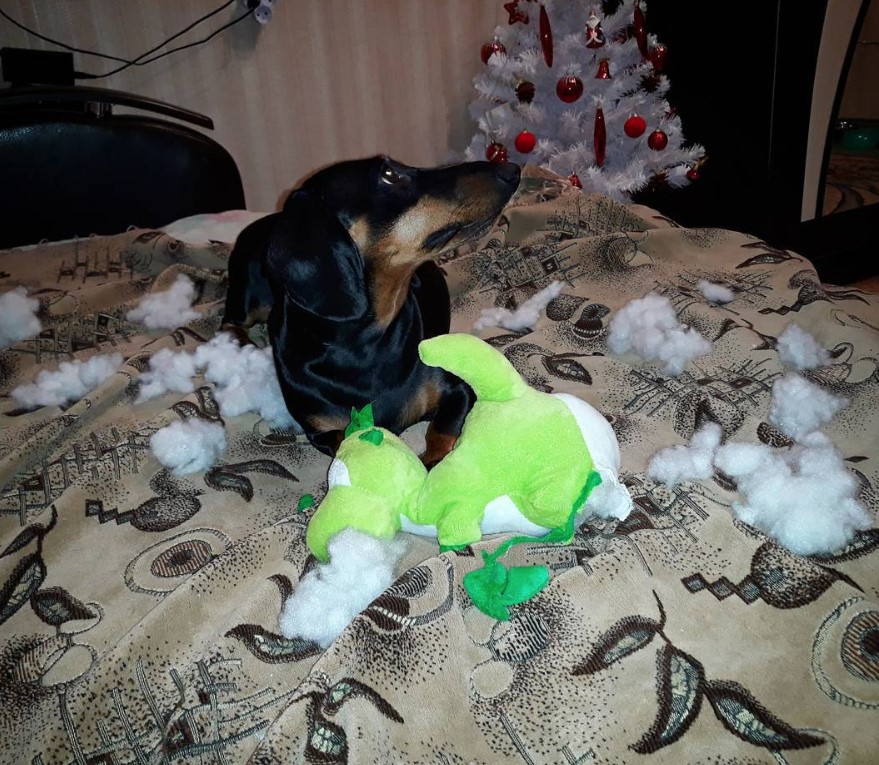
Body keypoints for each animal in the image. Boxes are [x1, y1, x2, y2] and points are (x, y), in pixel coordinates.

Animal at [222, 154, 524, 462]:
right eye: (389, 175)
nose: (512, 168)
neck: (362, 347)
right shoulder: (319, 433)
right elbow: (346, 438)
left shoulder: (458, 392)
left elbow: (440, 433)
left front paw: (434, 464)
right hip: (250, 295)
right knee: (230, 321)